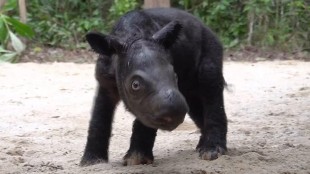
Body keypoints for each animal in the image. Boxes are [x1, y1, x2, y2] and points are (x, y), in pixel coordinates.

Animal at [81, 7, 226, 166]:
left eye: (175, 76)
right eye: (135, 85)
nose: (174, 115)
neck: (132, 36)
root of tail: (206, 27)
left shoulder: (149, 102)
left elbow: (145, 116)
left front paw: (136, 160)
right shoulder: (104, 80)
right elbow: (99, 116)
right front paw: (91, 162)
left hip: (210, 46)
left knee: (209, 84)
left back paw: (211, 152)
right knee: (193, 102)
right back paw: (201, 147)